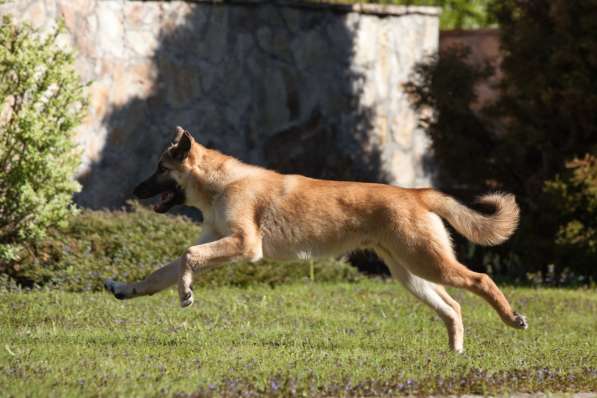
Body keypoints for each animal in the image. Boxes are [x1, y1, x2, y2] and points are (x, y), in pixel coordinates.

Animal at [106, 126, 528, 352]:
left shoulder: (244, 245)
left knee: (481, 280)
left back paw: (511, 319)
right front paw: (126, 289)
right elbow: (161, 273)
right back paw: (455, 352)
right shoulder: (218, 241)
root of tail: (417, 193)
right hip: (412, 274)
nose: (133, 189)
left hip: (427, 262)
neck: (220, 183)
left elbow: (188, 255)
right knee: (452, 306)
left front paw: (185, 293)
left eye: (160, 168)